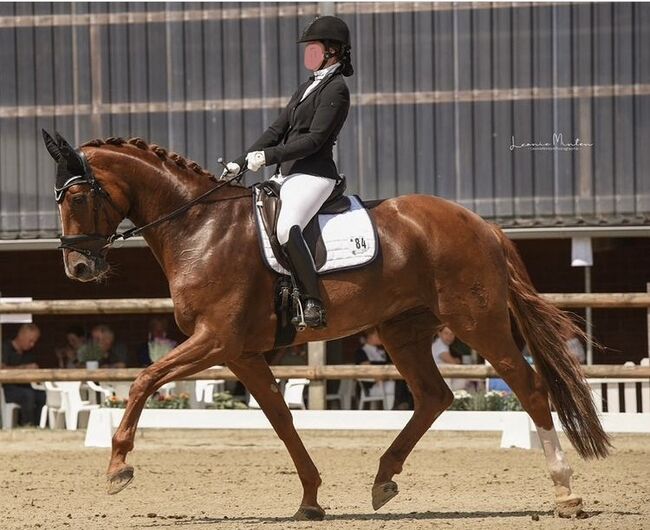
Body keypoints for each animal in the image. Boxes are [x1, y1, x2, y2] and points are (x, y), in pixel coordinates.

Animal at [42, 130, 610, 520]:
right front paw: (311, 499)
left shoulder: (215, 340)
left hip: (478, 322)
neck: (199, 228)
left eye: (78, 198)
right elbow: (281, 420)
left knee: (530, 389)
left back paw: (566, 492)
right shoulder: (240, 353)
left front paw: (118, 468)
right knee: (434, 396)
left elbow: (143, 380)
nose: (78, 269)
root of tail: (483, 225)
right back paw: (383, 479)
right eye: (57, 199)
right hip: (403, 330)